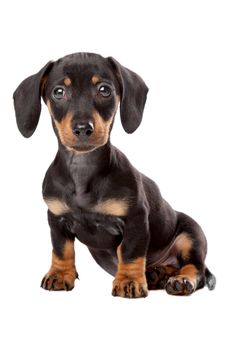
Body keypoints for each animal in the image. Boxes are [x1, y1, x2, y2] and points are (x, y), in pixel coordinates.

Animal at [13, 52, 216, 298]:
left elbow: (130, 252)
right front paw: (60, 275)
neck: (83, 171)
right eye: (58, 92)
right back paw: (157, 274)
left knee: (195, 268)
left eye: (104, 90)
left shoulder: (136, 219)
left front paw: (129, 281)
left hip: (191, 235)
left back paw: (180, 280)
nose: (83, 128)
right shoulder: (56, 218)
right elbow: (62, 250)